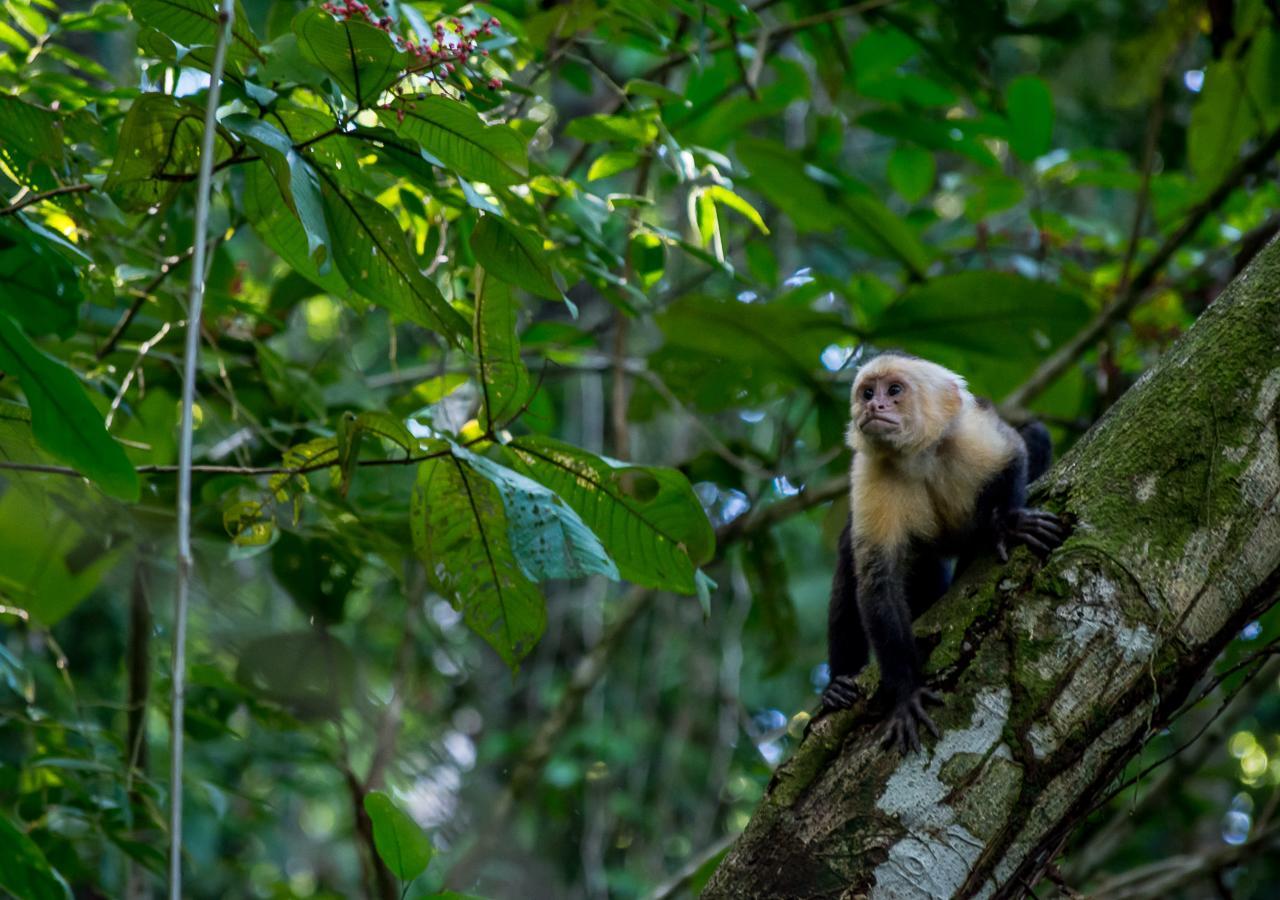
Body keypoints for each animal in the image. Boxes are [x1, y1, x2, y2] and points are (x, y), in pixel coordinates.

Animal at [824, 353, 1064, 752]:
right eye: (867, 393)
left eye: (894, 390)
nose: (874, 406)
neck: (916, 457)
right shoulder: (871, 472)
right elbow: (879, 583)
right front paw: (906, 693)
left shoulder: (967, 434)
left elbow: (1015, 452)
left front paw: (1008, 522)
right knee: (853, 558)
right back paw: (837, 685)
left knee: (1034, 439)